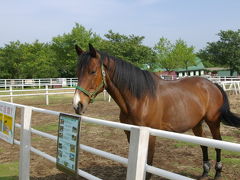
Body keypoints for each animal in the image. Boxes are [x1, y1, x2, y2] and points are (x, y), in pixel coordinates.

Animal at [73, 44, 240, 180]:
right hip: (197, 123)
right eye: (77, 73)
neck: (139, 98)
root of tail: (212, 85)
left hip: (213, 121)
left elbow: (148, 163)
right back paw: (205, 172)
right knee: (203, 144)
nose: (77, 104)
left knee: (218, 144)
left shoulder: (150, 135)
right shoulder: (130, 133)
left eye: (92, 71)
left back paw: (218, 173)